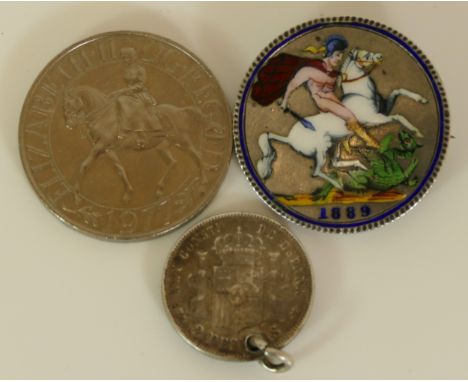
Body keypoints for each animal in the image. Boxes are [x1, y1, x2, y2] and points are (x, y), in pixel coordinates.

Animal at [63, 84, 208, 201]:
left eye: (69, 103)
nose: (68, 124)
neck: (103, 116)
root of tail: (181, 110)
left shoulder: (100, 146)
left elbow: (84, 165)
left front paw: (76, 195)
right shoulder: (108, 149)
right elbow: (120, 169)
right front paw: (128, 193)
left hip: (183, 141)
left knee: (198, 157)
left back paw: (202, 187)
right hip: (162, 147)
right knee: (173, 162)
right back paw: (159, 190)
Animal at [258, 47, 430, 190]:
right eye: (365, 55)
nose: (380, 56)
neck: (360, 94)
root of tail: (289, 138)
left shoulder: (383, 110)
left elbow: (398, 90)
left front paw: (422, 100)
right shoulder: (376, 119)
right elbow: (398, 117)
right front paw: (417, 132)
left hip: (334, 145)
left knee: (334, 163)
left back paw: (359, 166)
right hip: (321, 150)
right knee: (317, 172)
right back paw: (340, 185)